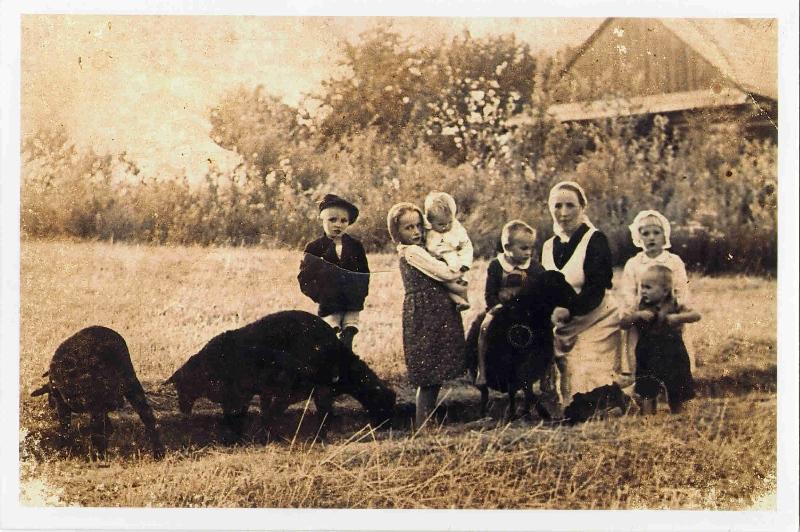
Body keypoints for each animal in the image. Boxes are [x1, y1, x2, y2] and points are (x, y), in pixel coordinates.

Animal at [30, 326, 164, 460]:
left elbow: (94, 432)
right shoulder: (81, 406)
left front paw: (98, 456)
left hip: (130, 381)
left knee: (146, 414)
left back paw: (158, 452)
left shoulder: (93, 405)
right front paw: (67, 451)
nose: (51, 405)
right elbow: (67, 430)